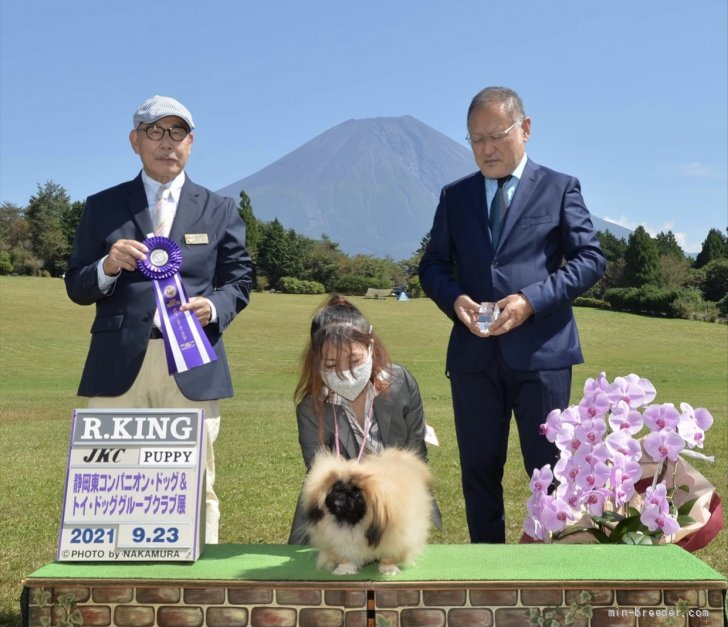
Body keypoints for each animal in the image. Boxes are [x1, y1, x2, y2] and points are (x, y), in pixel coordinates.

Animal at [302, 448, 432, 576]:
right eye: (336, 487)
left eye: (356, 493)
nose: (342, 491)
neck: (351, 524)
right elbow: (344, 556)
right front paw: (345, 568)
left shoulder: (394, 537)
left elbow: (389, 556)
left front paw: (388, 568)